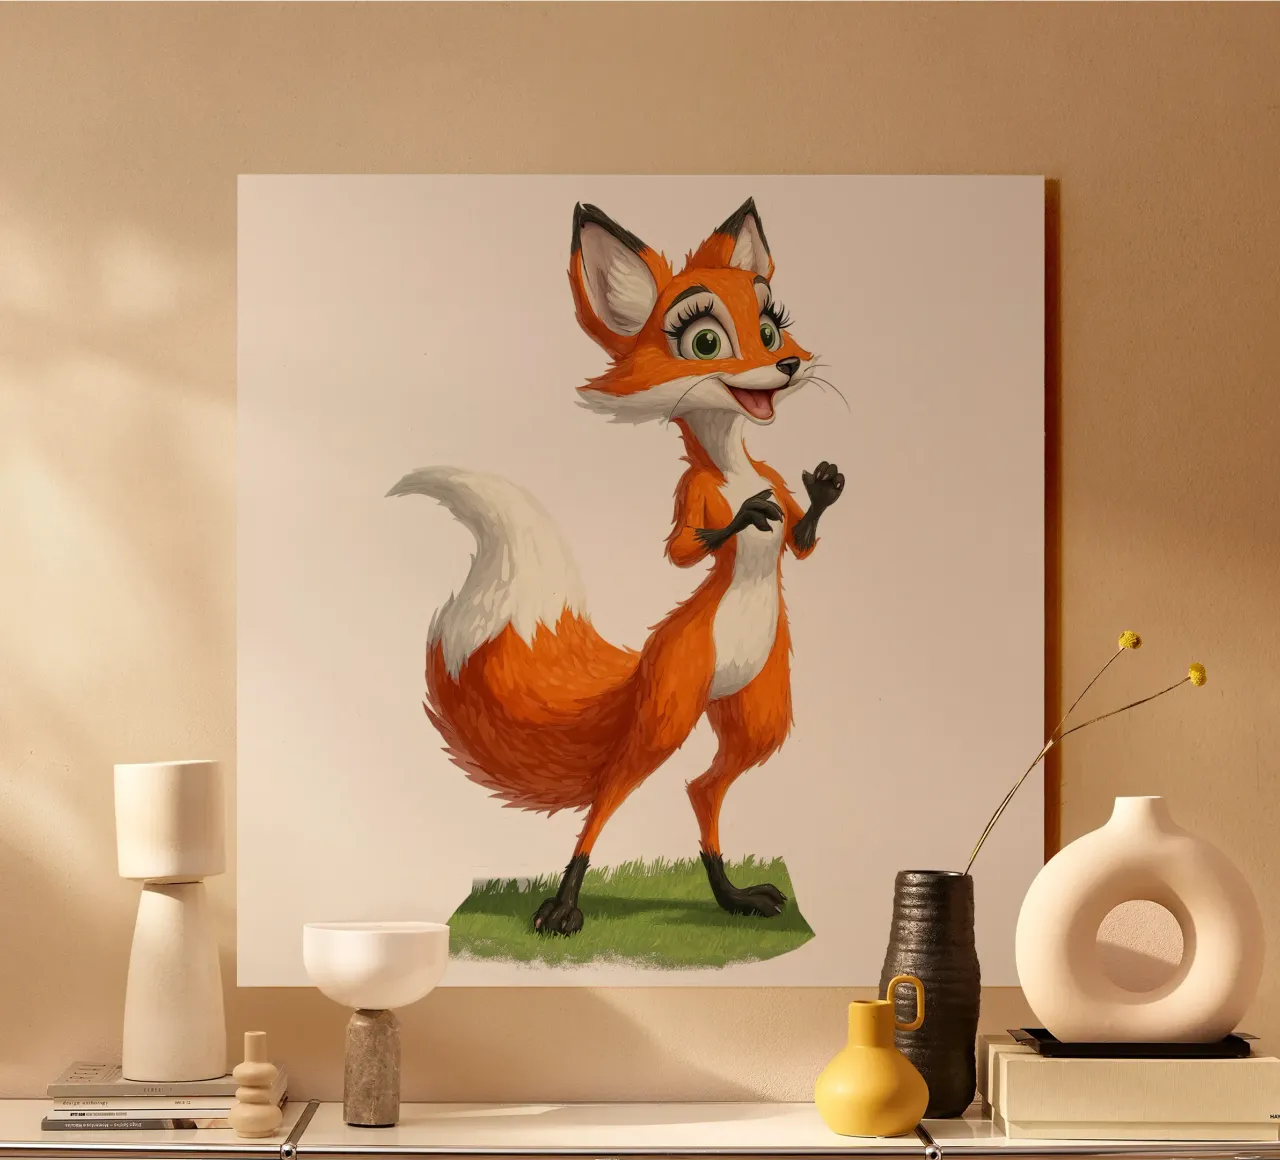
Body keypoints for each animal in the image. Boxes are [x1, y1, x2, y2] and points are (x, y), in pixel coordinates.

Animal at [388, 197, 843, 936]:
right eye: (706, 342)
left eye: (771, 327)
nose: (790, 363)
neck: (736, 462)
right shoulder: (696, 494)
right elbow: (685, 548)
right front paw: (744, 518)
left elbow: (799, 541)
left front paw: (823, 493)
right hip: (671, 708)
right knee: (610, 795)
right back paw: (565, 903)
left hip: (760, 713)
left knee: (702, 787)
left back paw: (731, 895)